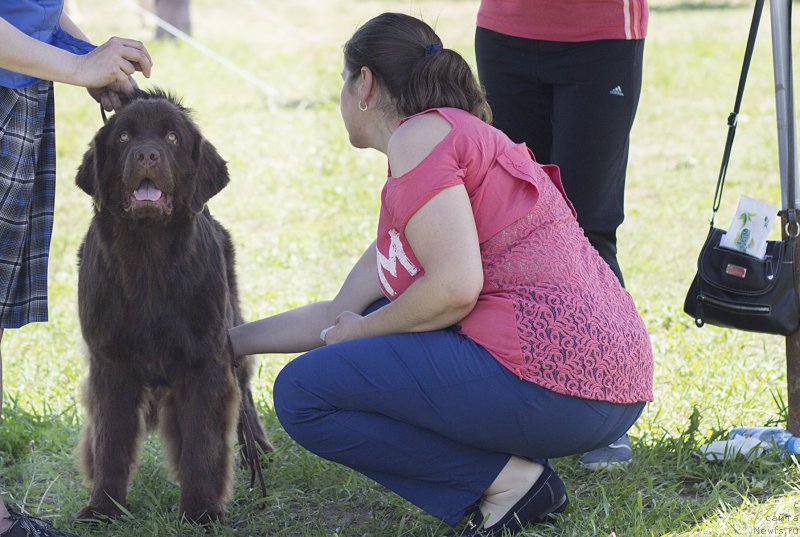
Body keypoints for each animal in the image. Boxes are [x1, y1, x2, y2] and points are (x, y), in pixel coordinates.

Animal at [74, 89, 272, 524]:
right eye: (124, 136)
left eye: (172, 137)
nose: (147, 155)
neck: (148, 258)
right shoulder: (110, 362)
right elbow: (110, 442)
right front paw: (103, 508)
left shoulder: (204, 360)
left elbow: (202, 443)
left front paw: (201, 511)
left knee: (246, 397)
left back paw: (260, 451)